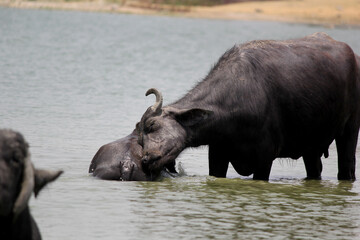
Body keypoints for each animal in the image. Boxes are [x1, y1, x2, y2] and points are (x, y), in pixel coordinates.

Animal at [136, 32, 358, 181]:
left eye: (152, 126)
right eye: (140, 139)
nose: (145, 160)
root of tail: (353, 56)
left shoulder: (265, 157)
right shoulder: (217, 154)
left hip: (350, 130)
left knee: (347, 166)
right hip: (311, 146)